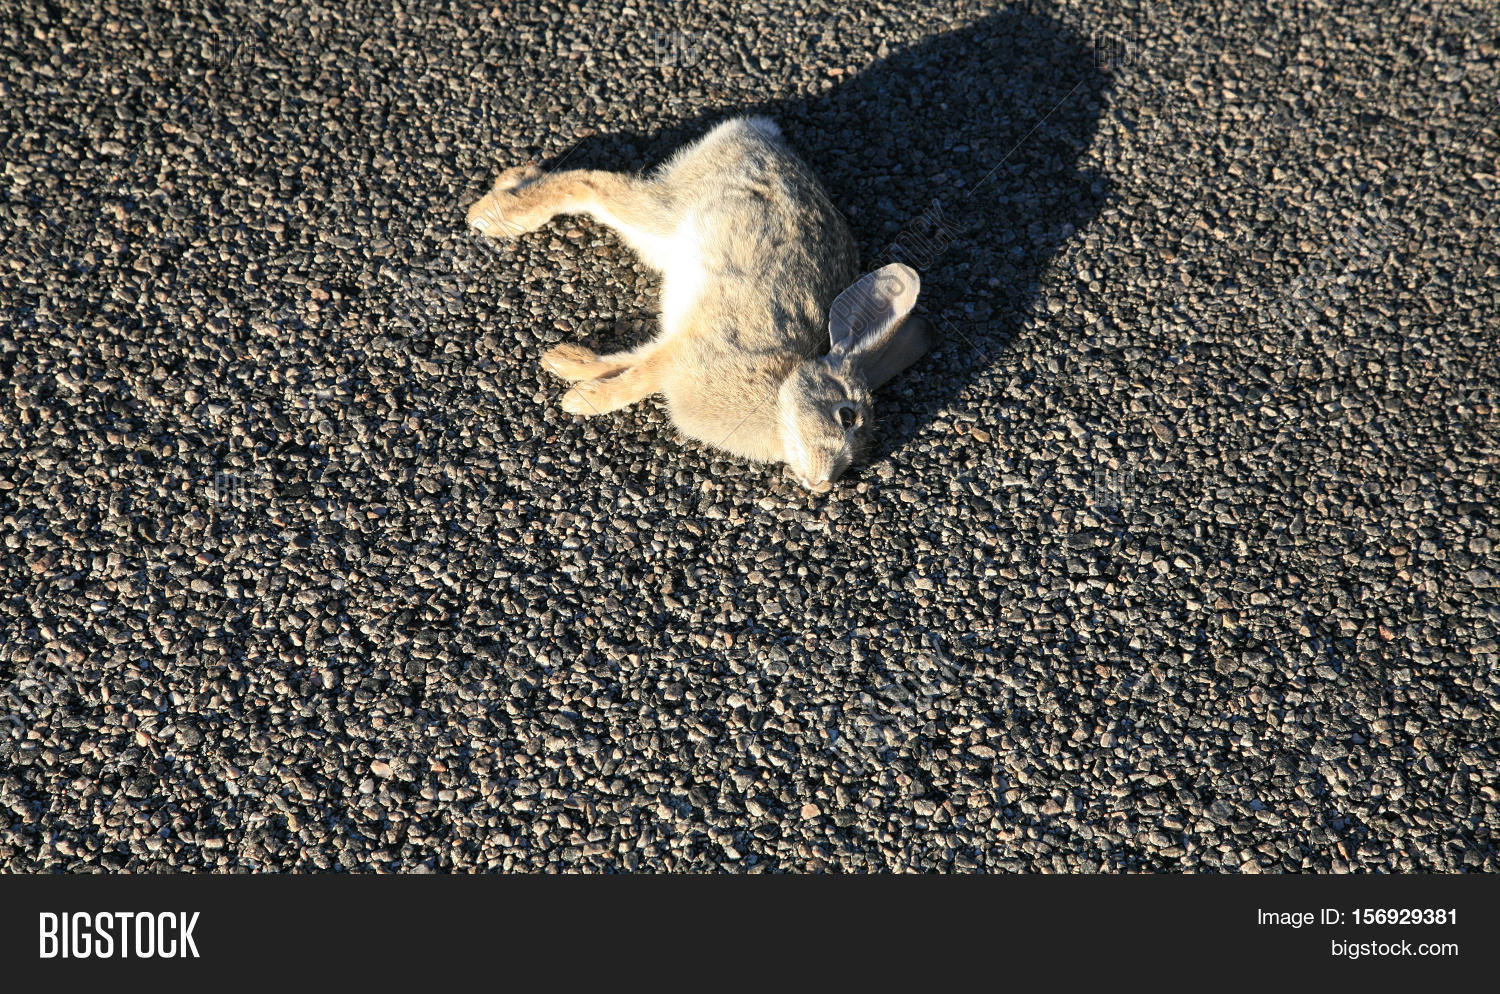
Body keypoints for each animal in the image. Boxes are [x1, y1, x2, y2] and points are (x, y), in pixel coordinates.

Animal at [466, 115, 929, 494]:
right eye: (846, 416)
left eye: (858, 460)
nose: (822, 484)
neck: (781, 390)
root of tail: (759, 133)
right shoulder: (692, 349)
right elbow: (640, 378)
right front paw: (582, 402)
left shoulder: (673, 342)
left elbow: (629, 359)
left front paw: (566, 364)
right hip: (666, 211)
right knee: (591, 184)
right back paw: (494, 214)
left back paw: (511, 182)